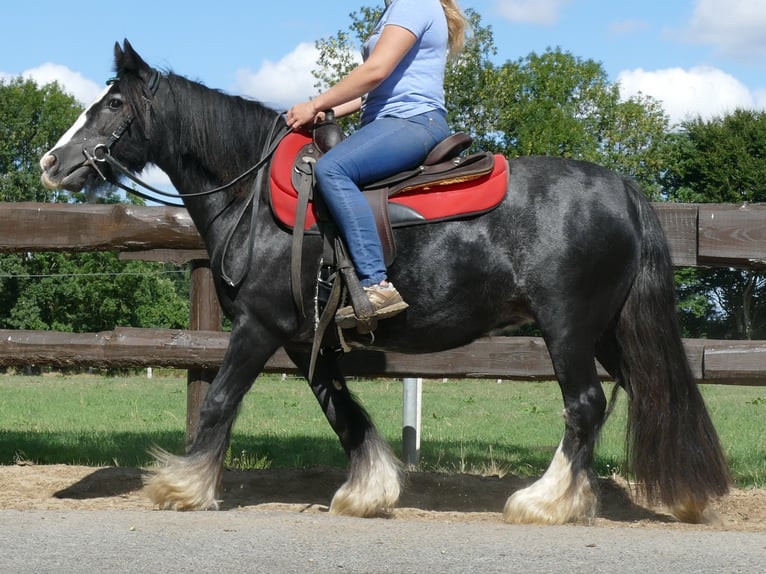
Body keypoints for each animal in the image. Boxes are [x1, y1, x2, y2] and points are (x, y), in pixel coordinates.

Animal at [37, 40, 732, 528]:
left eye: (114, 104)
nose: (51, 162)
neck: (253, 195)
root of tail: (621, 188)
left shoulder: (258, 326)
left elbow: (220, 401)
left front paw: (181, 486)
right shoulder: (304, 335)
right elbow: (340, 409)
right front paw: (371, 490)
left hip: (567, 326)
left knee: (584, 405)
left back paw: (545, 501)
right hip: (609, 329)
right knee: (648, 392)